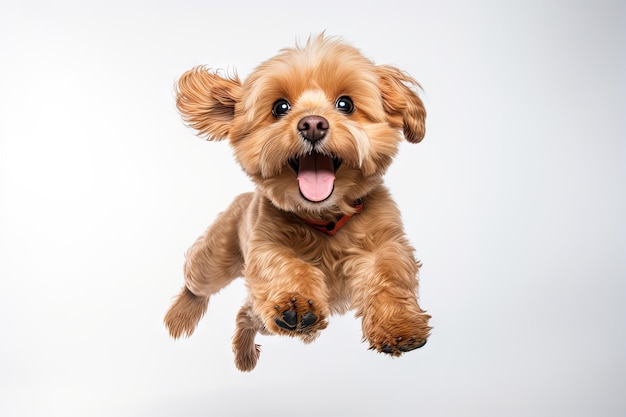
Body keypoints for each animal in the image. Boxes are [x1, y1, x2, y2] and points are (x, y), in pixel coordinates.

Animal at [163, 33, 432, 370]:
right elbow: (286, 266)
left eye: (345, 104)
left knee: (246, 314)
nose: (313, 124)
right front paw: (297, 303)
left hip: (260, 314)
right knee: (196, 284)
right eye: (280, 107)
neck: (325, 218)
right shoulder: (265, 246)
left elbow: (389, 276)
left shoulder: (384, 244)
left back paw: (244, 354)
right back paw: (180, 318)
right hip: (215, 261)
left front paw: (399, 325)